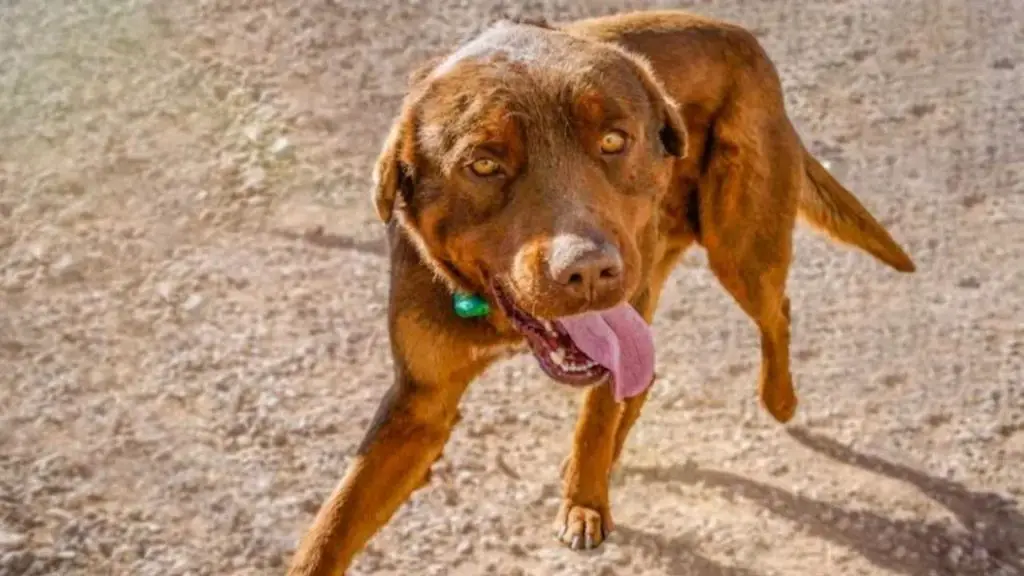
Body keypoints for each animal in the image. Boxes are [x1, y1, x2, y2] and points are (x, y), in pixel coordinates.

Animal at [286, 10, 913, 573]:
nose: (588, 272)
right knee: (645, 377)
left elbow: (594, 413)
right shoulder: (418, 407)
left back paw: (778, 399)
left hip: (737, 246)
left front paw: (583, 503)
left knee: (773, 309)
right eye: (483, 164)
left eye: (614, 140)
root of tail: (741, 36)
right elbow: (331, 527)